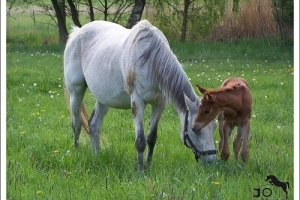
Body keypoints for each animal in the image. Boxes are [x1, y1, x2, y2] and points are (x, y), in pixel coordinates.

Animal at [63, 19, 218, 172]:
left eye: (214, 126)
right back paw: (76, 151)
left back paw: (96, 156)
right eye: (195, 129)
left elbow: (151, 138)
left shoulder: (159, 104)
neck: (150, 59)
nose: (212, 161)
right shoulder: (137, 103)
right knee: (76, 123)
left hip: (103, 98)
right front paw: (140, 171)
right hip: (76, 92)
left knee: (94, 125)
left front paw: (148, 165)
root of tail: (77, 32)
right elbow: (140, 141)